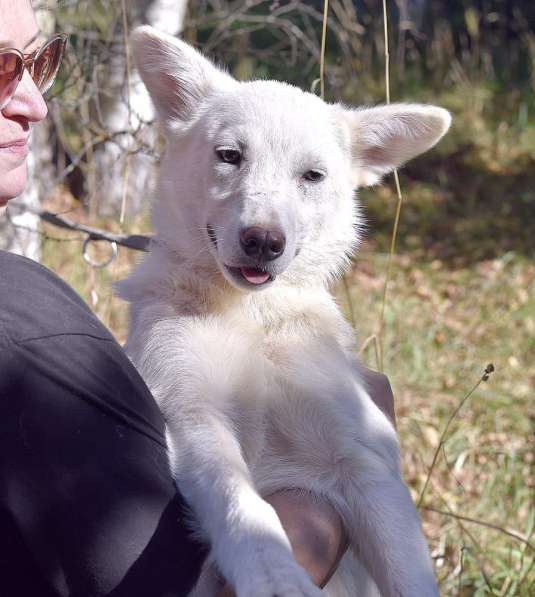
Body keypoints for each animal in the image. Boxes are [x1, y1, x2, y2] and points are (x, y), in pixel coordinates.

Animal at [118, 24, 452, 596]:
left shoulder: (364, 458)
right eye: (230, 155)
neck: (253, 316)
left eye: (312, 175)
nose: (263, 242)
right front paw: (274, 574)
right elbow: (243, 505)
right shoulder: (192, 412)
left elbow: (407, 571)